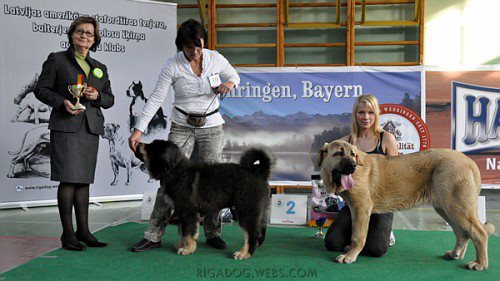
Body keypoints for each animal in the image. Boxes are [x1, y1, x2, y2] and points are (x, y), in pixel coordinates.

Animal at [135, 139, 274, 260]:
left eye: (150, 147)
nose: (137, 143)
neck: (174, 170)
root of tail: (259, 174)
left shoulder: (188, 211)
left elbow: (188, 232)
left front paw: (187, 249)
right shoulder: (182, 212)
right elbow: (183, 231)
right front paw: (182, 245)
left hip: (246, 211)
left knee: (251, 234)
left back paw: (244, 254)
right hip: (257, 211)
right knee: (259, 231)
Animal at [318, 139, 494, 270]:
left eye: (353, 155)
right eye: (339, 153)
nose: (353, 166)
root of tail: (469, 161)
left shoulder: (361, 208)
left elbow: (357, 236)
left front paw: (350, 256)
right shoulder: (355, 210)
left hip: (456, 207)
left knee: (479, 233)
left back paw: (480, 264)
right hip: (446, 208)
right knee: (462, 233)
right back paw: (454, 254)